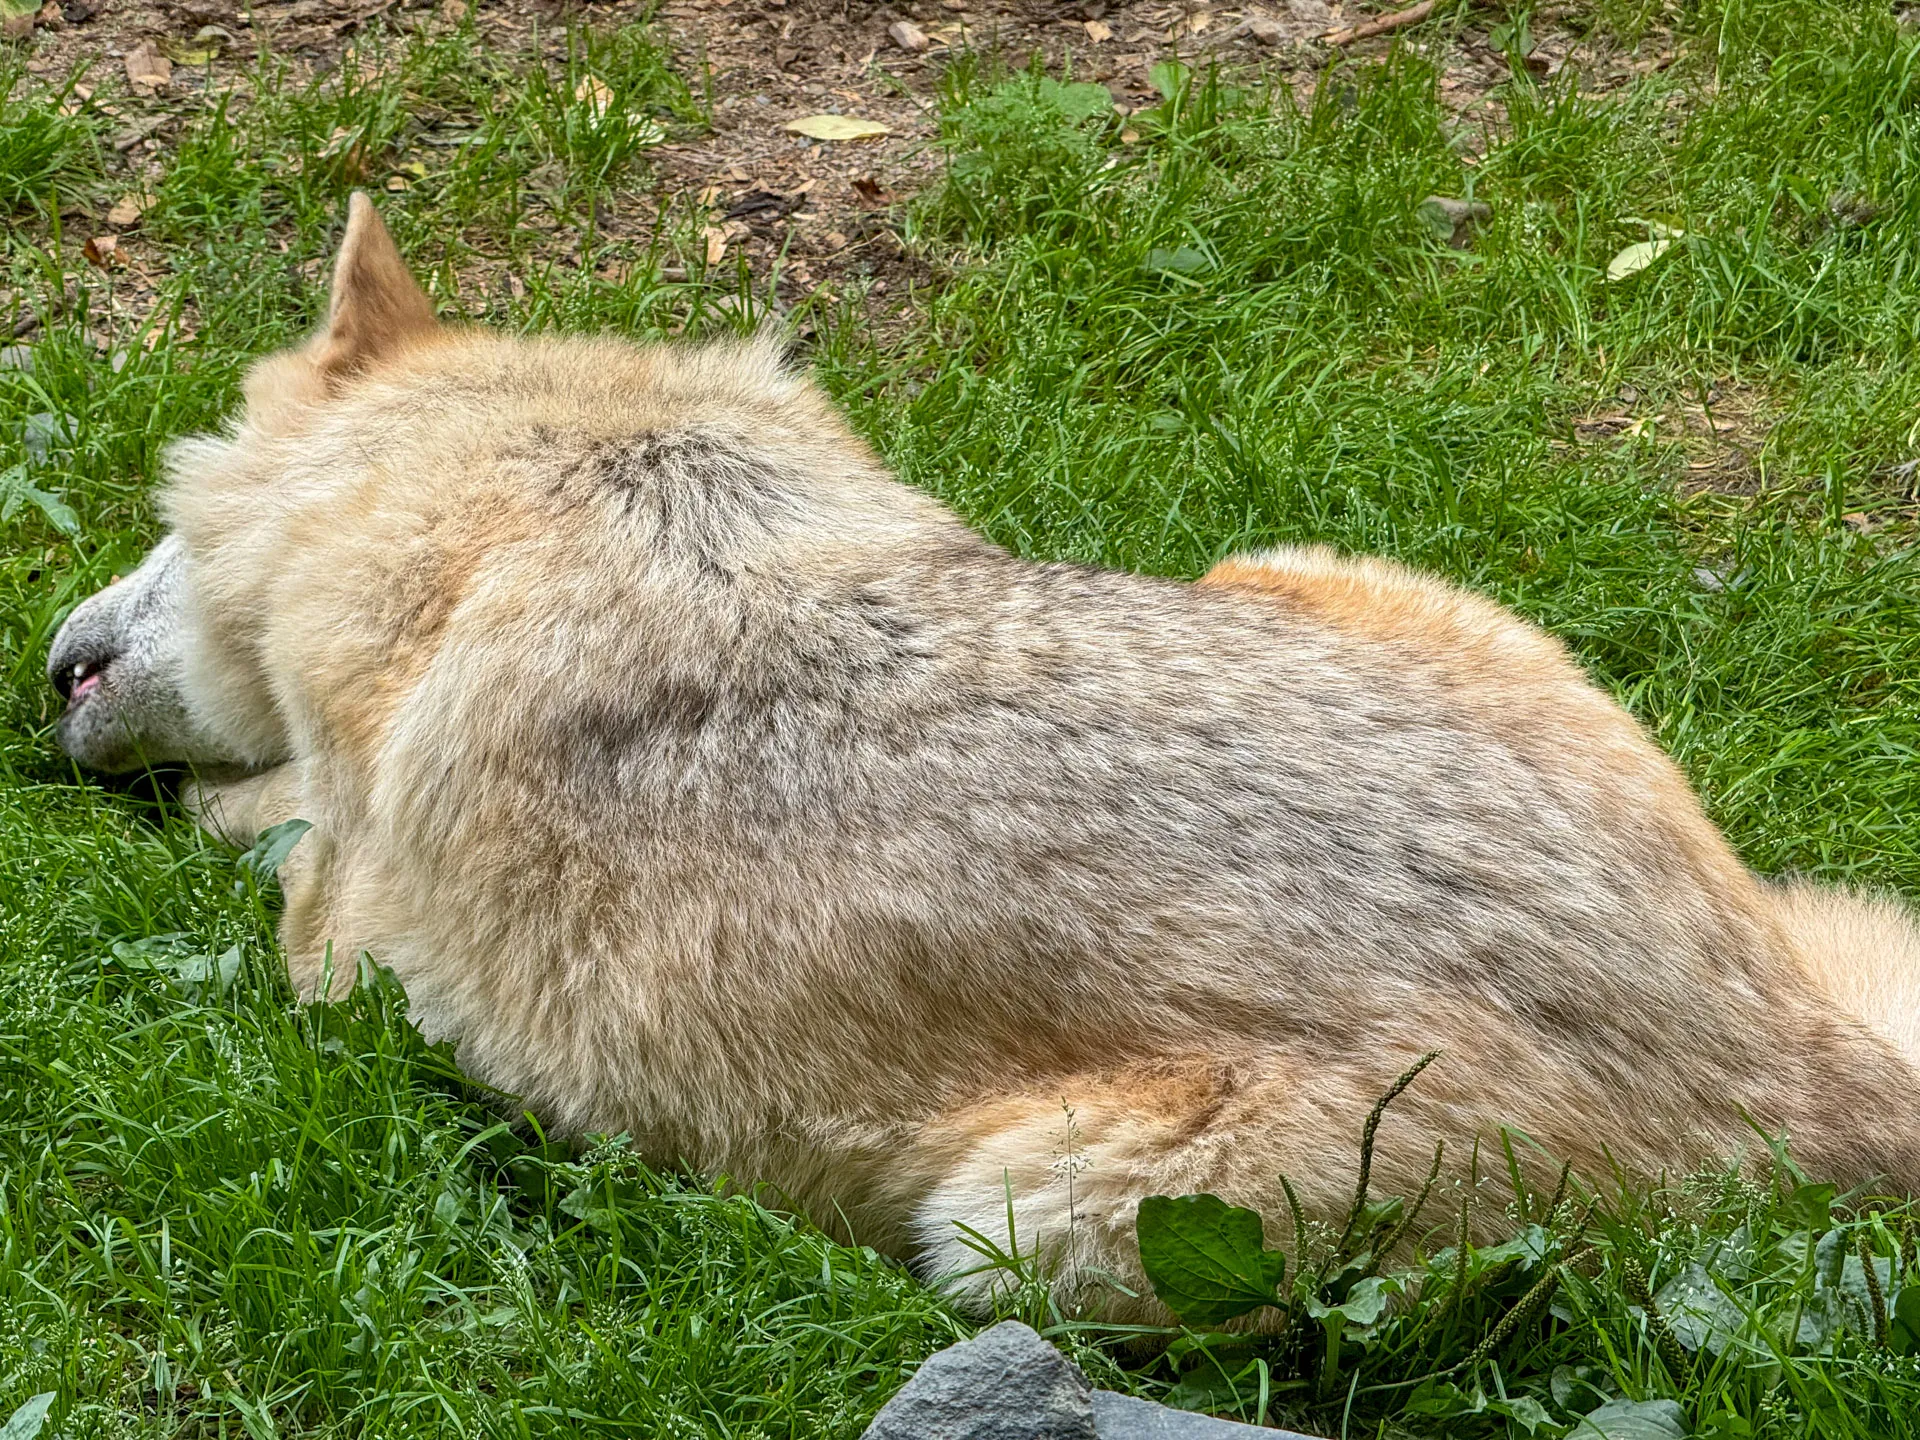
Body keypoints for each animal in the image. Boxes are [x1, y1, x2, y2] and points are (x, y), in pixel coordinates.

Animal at [47, 194, 1920, 1319]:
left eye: (155, 528)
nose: (49, 667)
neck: (556, 490)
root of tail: (1804, 1058)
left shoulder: (341, 950)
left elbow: (262, 832)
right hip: (1303, 569)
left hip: (1023, 1226)